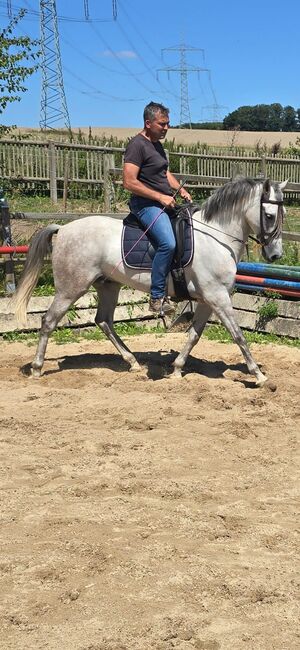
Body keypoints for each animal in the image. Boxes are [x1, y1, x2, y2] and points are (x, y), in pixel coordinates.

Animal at [12, 175, 288, 382]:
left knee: (104, 321)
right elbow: (237, 334)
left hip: (108, 286)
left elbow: (194, 335)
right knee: (49, 321)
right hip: (70, 289)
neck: (216, 236)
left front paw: (176, 369)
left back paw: (132, 361)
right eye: (270, 216)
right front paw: (259, 376)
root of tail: (63, 229)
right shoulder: (217, 297)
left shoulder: (208, 300)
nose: (275, 254)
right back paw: (37, 368)